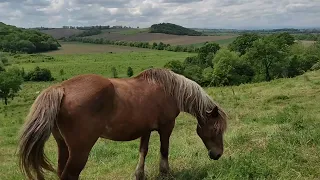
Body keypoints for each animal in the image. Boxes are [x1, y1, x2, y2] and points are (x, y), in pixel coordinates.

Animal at [16, 68, 228, 180]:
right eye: (216, 129)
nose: (217, 155)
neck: (170, 90)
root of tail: (60, 88)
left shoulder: (146, 129)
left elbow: (143, 151)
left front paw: (139, 174)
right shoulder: (166, 127)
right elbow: (164, 150)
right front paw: (165, 172)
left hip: (63, 145)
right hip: (80, 150)